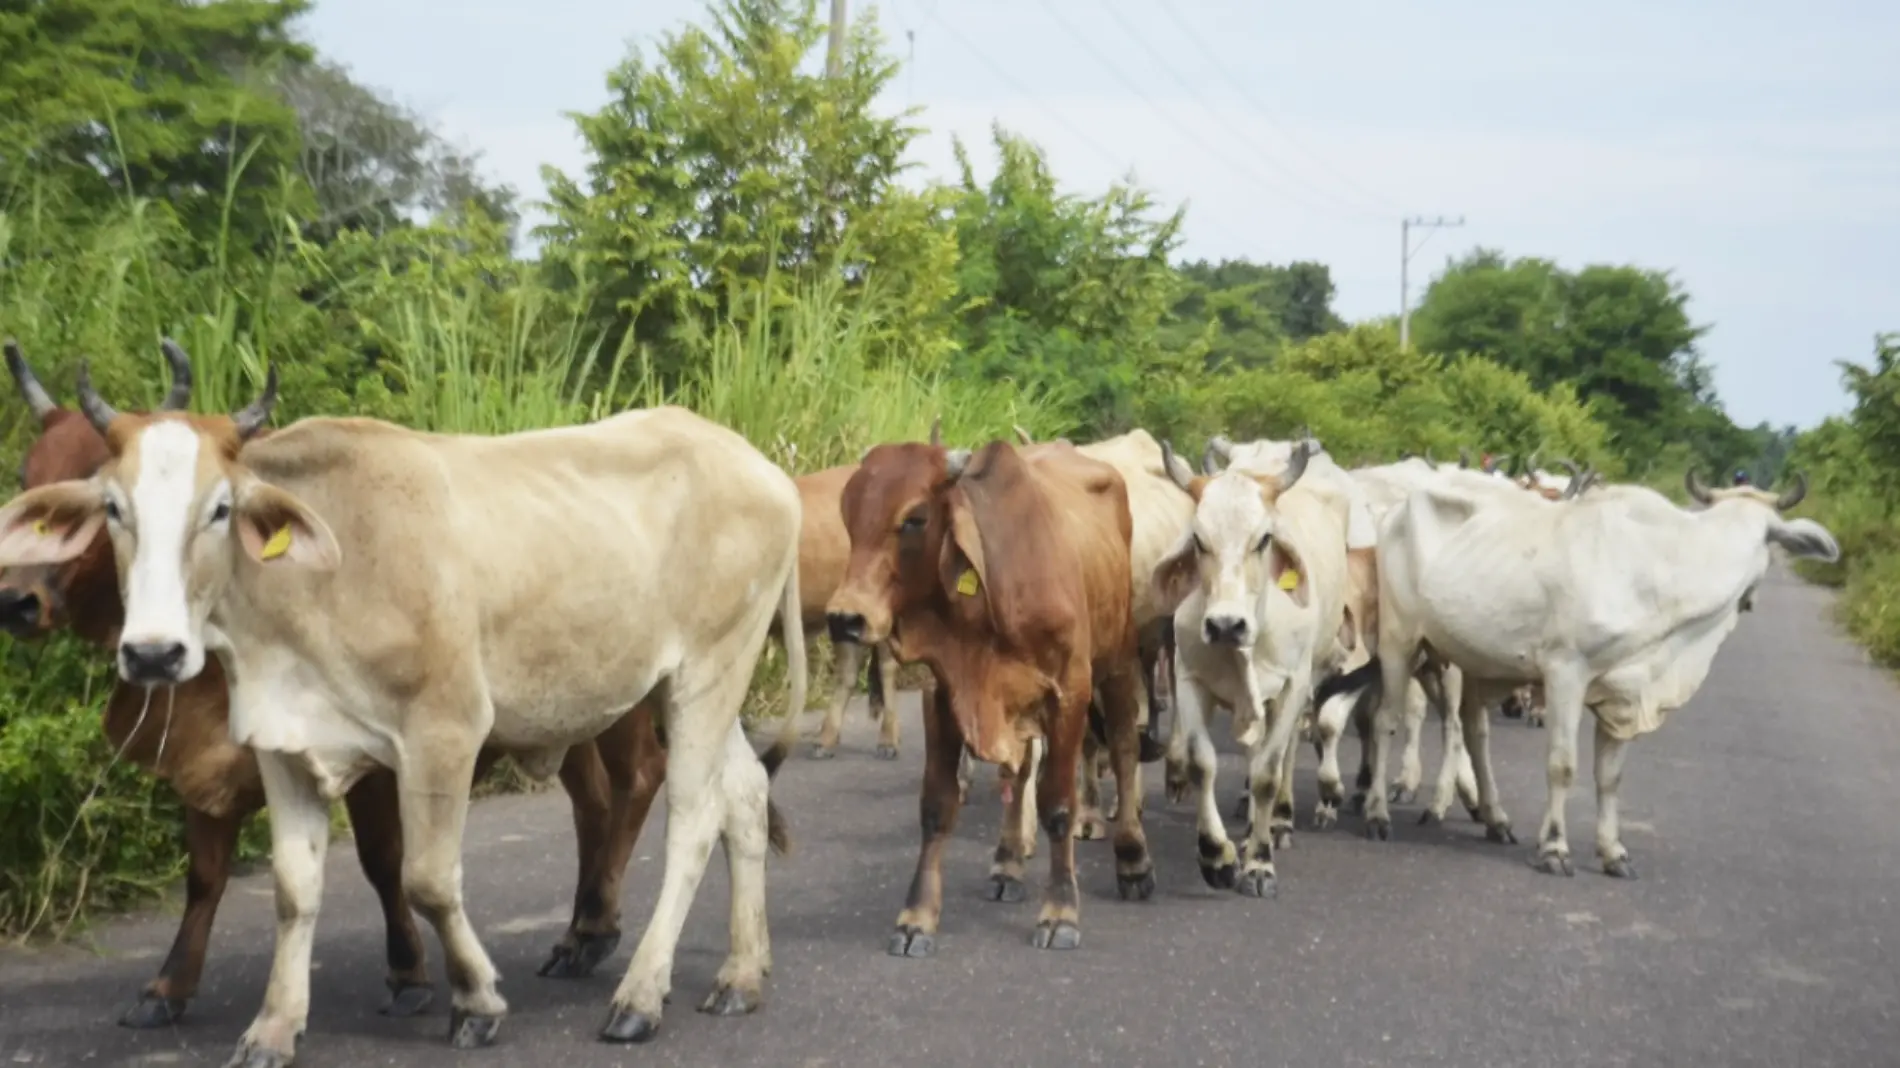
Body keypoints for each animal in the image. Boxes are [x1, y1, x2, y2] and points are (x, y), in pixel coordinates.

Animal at [0, 349, 809, 1056]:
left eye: (220, 508)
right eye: (113, 506)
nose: (153, 652)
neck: (317, 583)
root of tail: (763, 468)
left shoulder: (442, 733)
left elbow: (424, 877)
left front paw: (474, 1001)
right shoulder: (280, 745)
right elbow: (294, 890)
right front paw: (272, 1028)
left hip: (706, 672)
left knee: (693, 817)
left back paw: (639, 995)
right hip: (702, 684)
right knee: (743, 794)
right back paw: (740, 974)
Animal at [824, 437, 1147, 950]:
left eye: (915, 517)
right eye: (848, 512)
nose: (845, 618)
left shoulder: (1069, 693)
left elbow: (1059, 804)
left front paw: (1060, 912)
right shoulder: (944, 695)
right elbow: (937, 806)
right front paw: (917, 916)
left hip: (1116, 661)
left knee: (1123, 747)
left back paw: (1134, 860)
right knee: (1020, 771)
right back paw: (1008, 863)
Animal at [1360, 461, 1831, 870]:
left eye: (1771, 534)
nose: (1750, 598)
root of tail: (1395, 509)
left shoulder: (1625, 691)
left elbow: (1609, 777)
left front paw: (1613, 852)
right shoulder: (1565, 672)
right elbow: (1563, 765)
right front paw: (1554, 848)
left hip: (1474, 660)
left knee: (1473, 733)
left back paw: (1495, 818)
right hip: (1400, 642)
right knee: (1386, 720)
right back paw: (1377, 812)